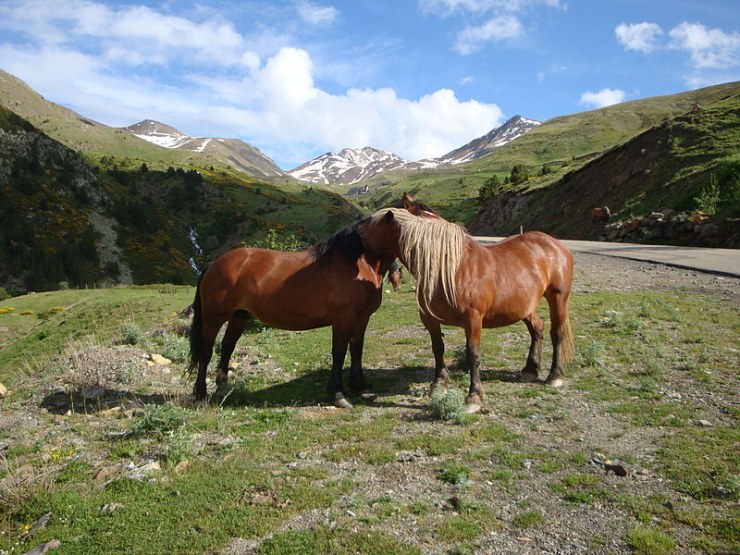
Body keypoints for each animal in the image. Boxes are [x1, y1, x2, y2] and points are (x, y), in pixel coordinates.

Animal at [191, 222, 398, 408]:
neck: (356, 262)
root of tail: (214, 264)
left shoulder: (362, 318)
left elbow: (356, 349)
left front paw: (361, 387)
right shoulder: (343, 319)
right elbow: (339, 353)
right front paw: (338, 394)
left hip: (238, 317)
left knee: (227, 347)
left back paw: (222, 388)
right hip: (213, 320)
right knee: (206, 352)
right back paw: (200, 393)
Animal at [362, 207, 576, 412]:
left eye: (368, 226)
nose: (355, 235)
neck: (450, 268)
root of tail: (556, 245)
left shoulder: (473, 319)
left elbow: (472, 354)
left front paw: (474, 397)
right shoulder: (429, 319)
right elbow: (437, 348)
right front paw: (438, 384)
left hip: (558, 298)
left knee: (557, 333)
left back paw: (554, 376)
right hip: (524, 306)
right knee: (537, 328)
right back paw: (530, 369)